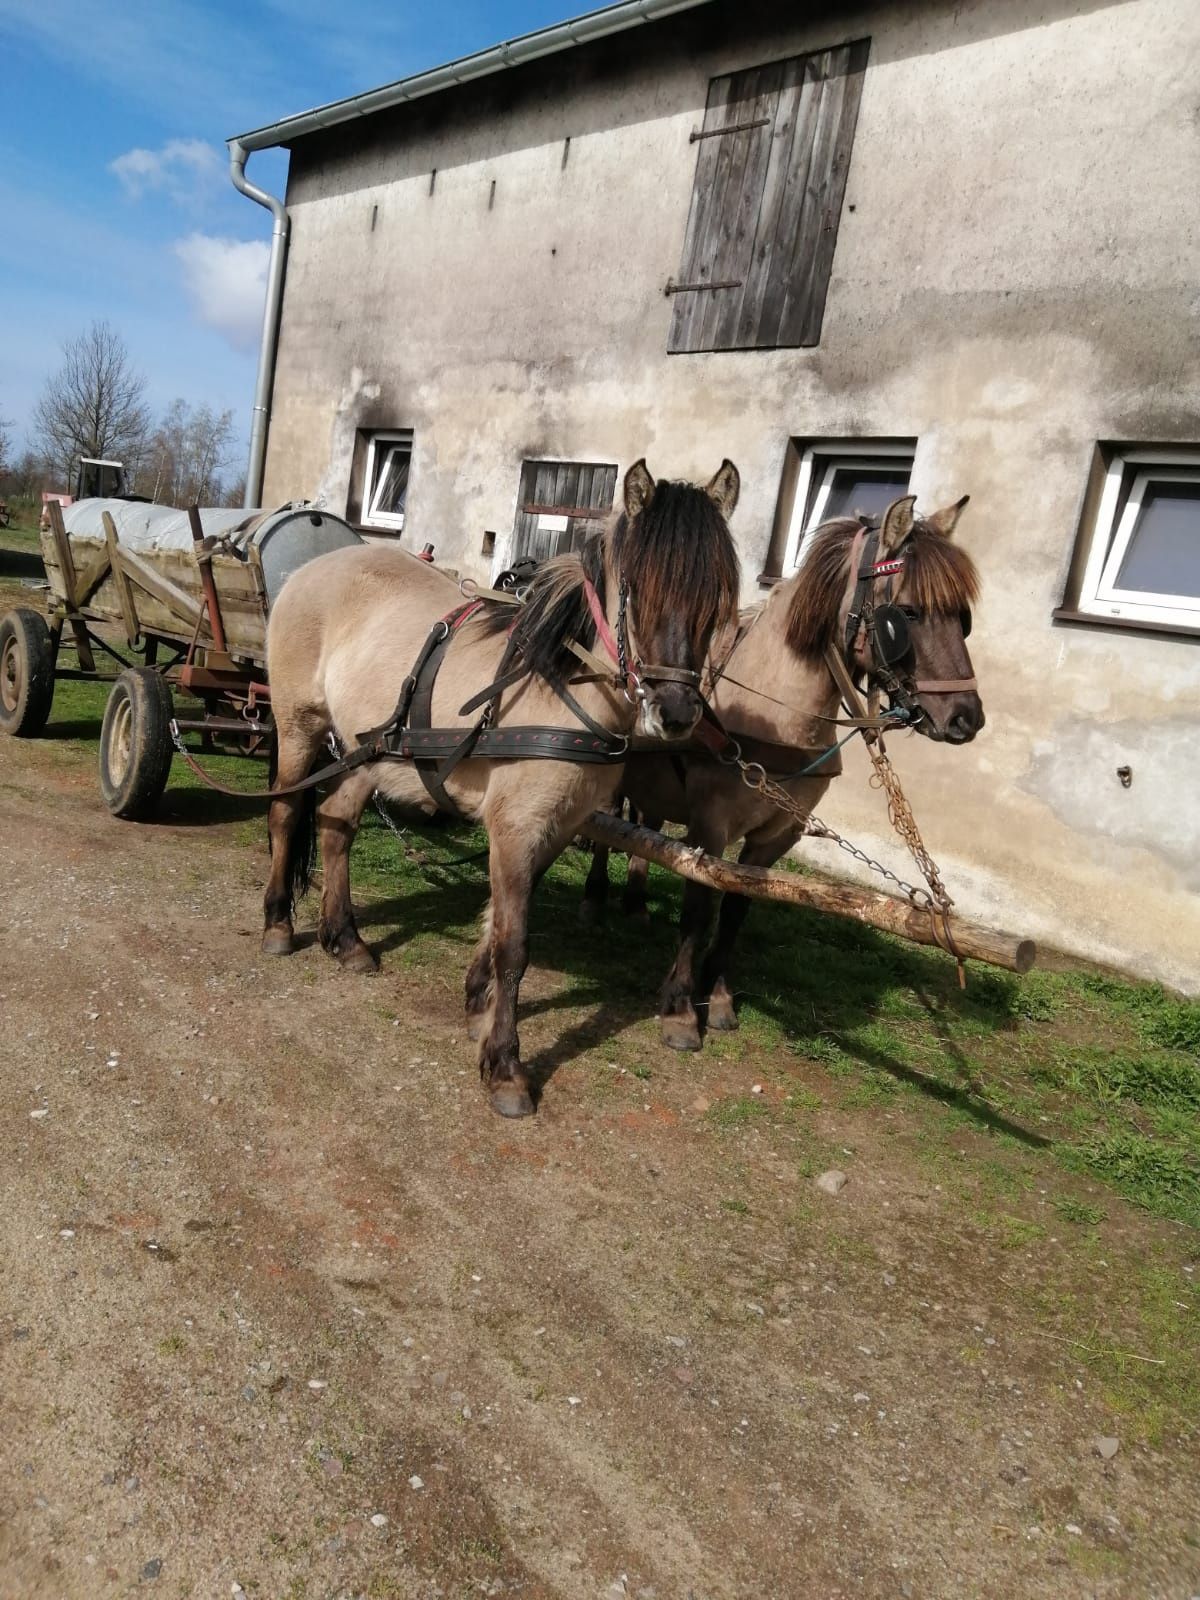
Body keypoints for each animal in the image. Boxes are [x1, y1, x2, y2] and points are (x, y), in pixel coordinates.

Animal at [262, 460, 742, 1113]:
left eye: (716, 596)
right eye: (637, 589)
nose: (674, 713)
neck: (558, 685)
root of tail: (311, 569)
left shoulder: (553, 828)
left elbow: (495, 926)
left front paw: (477, 1006)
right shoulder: (516, 827)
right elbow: (515, 944)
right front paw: (505, 1065)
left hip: (369, 752)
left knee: (337, 826)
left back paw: (346, 938)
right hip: (299, 725)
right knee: (288, 813)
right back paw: (278, 924)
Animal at [585, 492, 985, 1056]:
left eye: (962, 617)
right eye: (906, 614)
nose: (967, 718)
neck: (776, 713)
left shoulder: (778, 834)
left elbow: (737, 906)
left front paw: (719, 996)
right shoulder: (711, 825)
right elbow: (698, 907)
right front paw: (681, 1008)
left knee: (646, 827)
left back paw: (636, 903)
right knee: (606, 826)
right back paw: (596, 898)